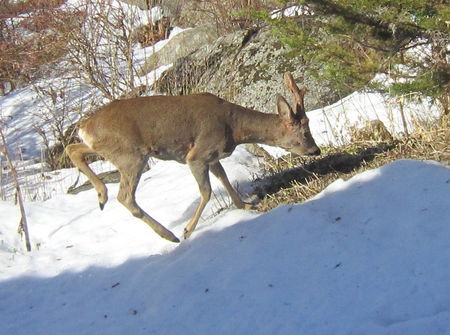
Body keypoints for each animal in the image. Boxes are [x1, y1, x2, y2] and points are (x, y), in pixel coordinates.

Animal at [66, 72, 320, 243]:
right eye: (304, 132)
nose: (316, 150)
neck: (234, 128)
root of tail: (85, 126)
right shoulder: (197, 154)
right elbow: (206, 191)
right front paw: (188, 230)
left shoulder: (213, 156)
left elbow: (224, 178)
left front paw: (245, 204)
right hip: (131, 156)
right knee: (125, 196)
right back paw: (169, 235)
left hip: (107, 149)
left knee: (73, 149)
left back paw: (101, 195)